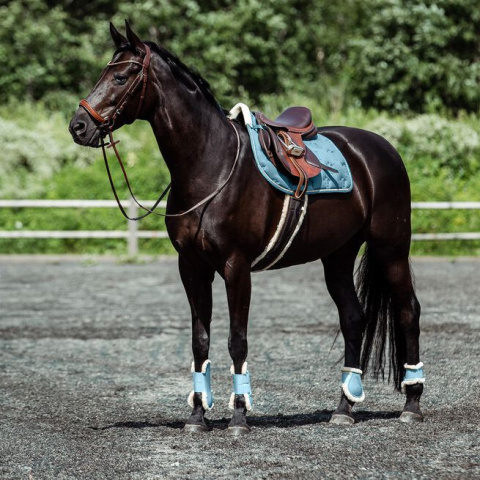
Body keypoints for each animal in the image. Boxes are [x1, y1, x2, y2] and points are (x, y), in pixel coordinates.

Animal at [70, 21, 424, 436]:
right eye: (103, 73)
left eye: (121, 76)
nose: (78, 126)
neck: (211, 165)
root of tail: (384, 149)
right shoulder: (192, 267)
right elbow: (200, 340)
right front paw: (197, 417)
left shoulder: (236, 267)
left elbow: (236, 339)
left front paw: (239, 416)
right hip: (337, 255)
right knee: (354, 318)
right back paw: (343, 408)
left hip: (391, 248)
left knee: (408, 311)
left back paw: (412, 404)